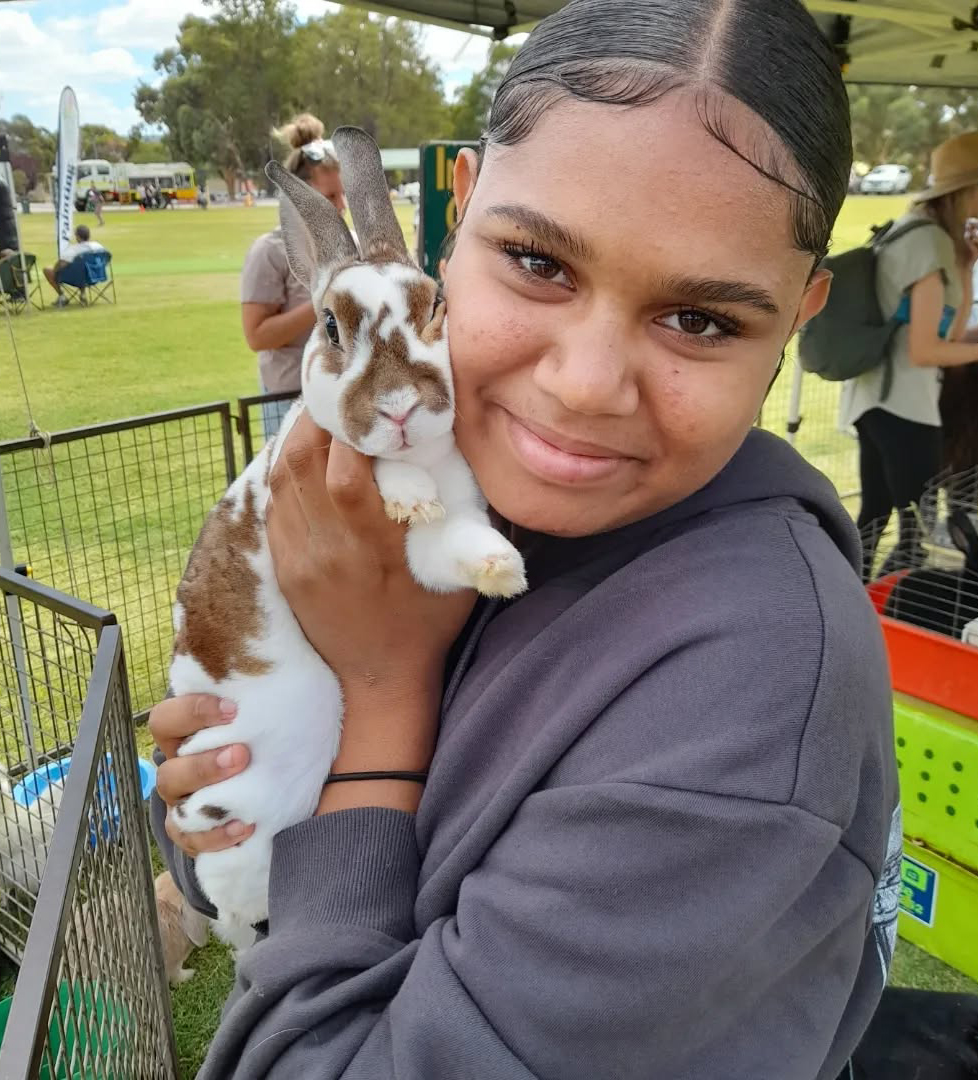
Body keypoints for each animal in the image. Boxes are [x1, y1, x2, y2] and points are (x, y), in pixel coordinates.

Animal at [167, 126, 527, 935]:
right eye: (329, 326)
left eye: (437, 306)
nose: (399, 406)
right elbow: (402, 496)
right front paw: (411, 497)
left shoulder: (445, 530)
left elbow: (452, 543)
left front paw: (503, 567)